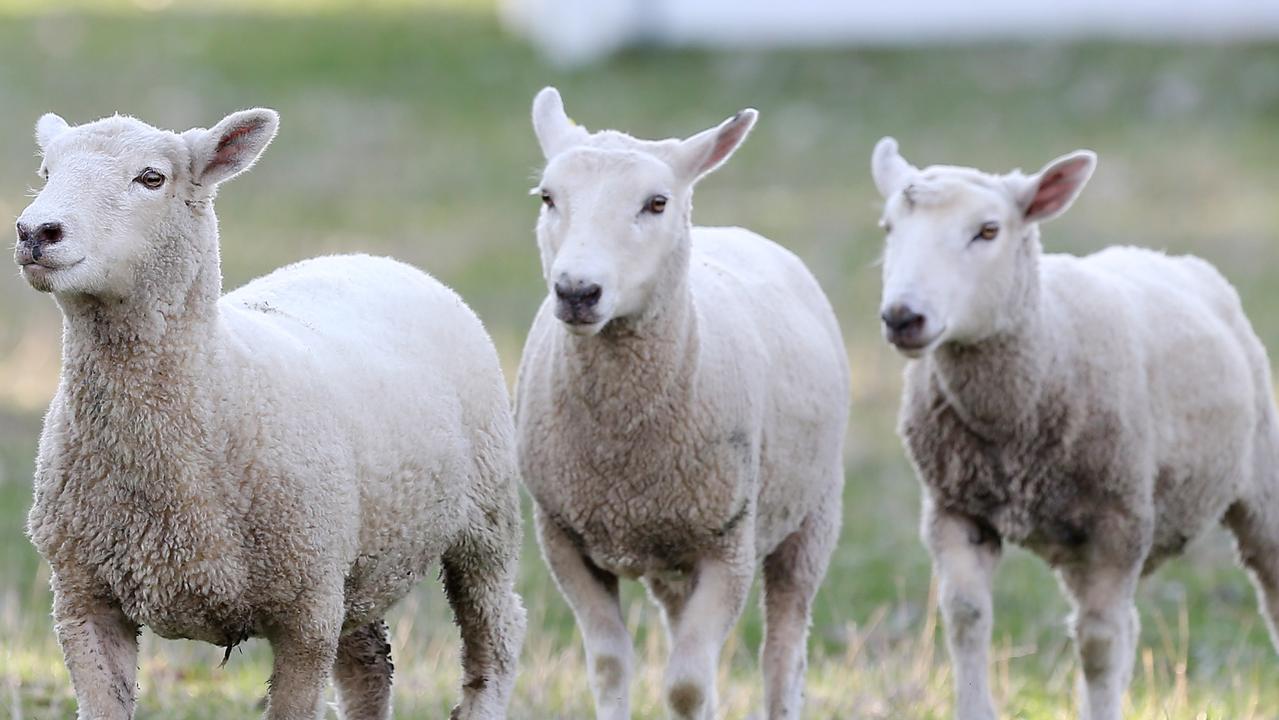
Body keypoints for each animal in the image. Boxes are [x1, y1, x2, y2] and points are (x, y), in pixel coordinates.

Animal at [15, 109, 526, 720]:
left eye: (151, 178)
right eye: (46, 171)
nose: (34, 233)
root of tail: (371, 256)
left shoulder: (305, 614)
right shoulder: (83, 599)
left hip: (486, 519)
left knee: (495, 639)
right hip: (356, 563)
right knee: (369, 667)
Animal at [514, 88, 854, 720]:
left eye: (656, 203)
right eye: (548, 197)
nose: (577, 292)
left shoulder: (728, 544)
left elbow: (687, 685)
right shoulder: (564, 539)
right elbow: (610, 666)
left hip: (813, 515)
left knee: (784, 654)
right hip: (672, 553)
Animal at [869, 138, 1279, 716]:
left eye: (988, 230)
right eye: (889, 228)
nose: (903, 317)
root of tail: (1163, 255)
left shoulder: (1119, 521)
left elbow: (1098, 644)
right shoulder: (954, 510)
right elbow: (966, 618)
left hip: (1258, 480)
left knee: (1268, 586)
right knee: (1129, 627)